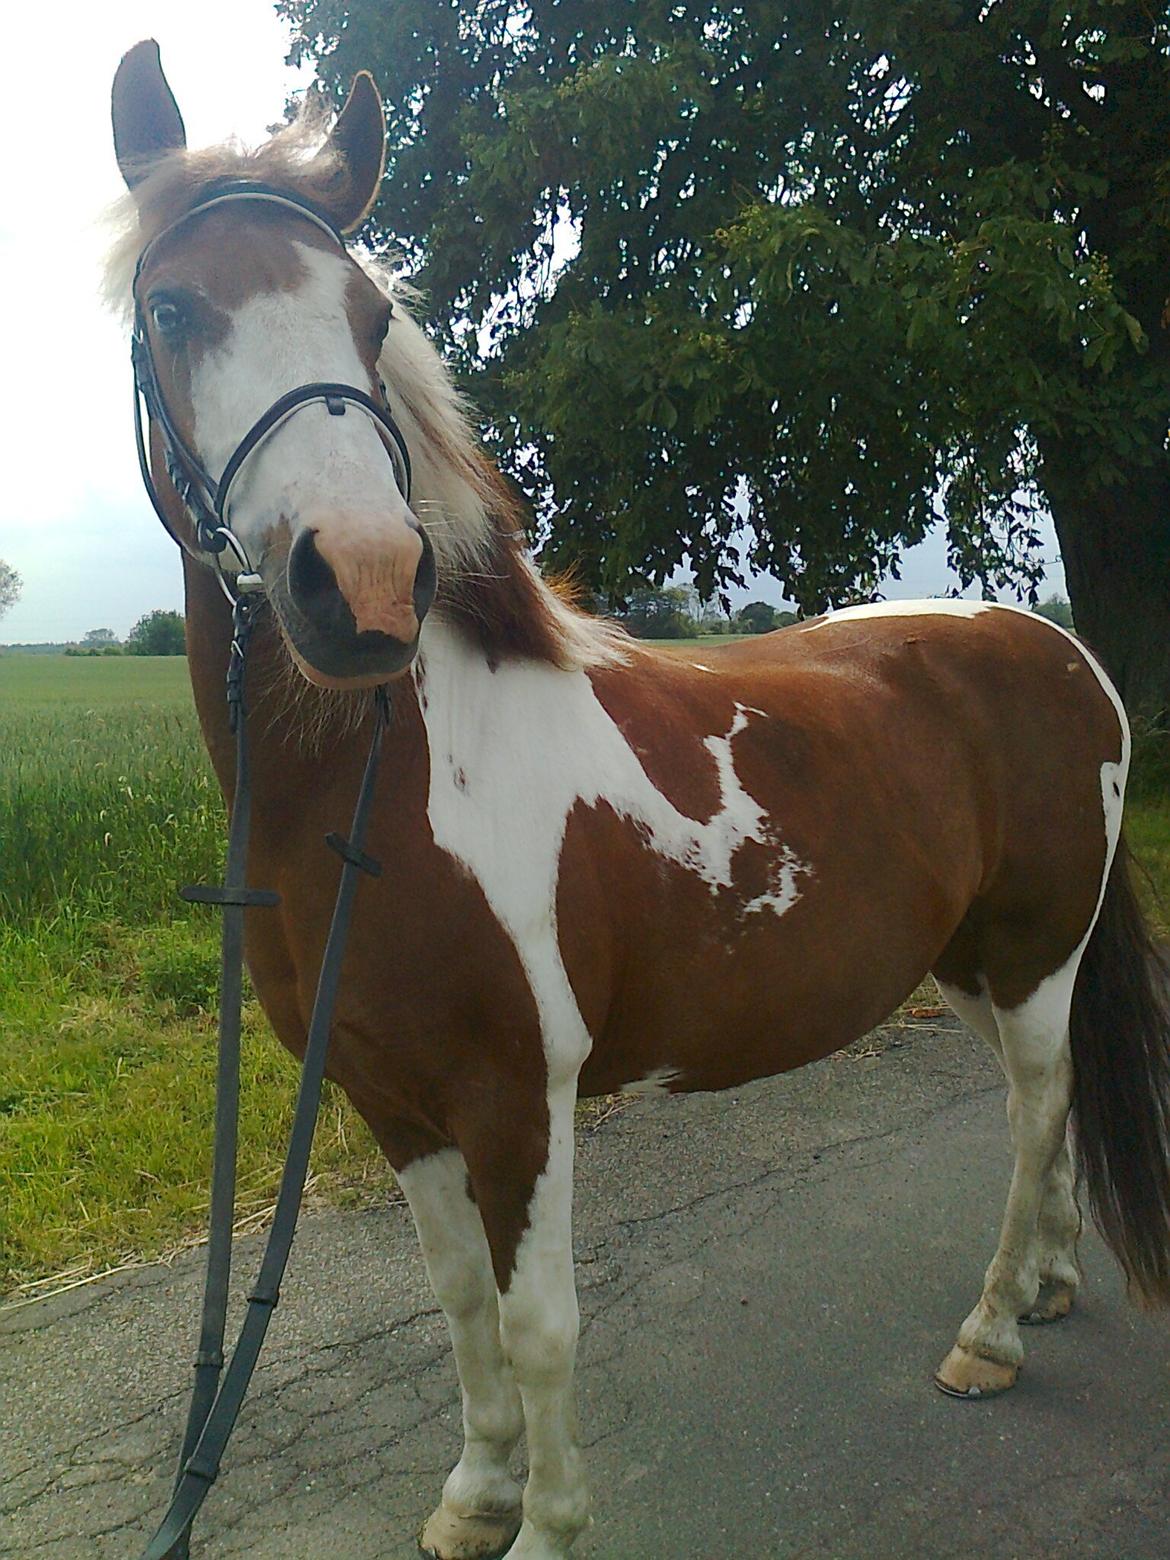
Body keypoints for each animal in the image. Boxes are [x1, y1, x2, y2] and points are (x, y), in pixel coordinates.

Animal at [109, 40, 1170, 1560]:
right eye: (173, 307)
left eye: (371, 316)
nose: (359, 584)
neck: (396, 791)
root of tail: (1058, 647)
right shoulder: (388, 1099)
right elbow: (458, 1312)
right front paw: (475, 1493)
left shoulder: (519, 1096)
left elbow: (541, 1327)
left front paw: (548, 1526)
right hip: (970, 961)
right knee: (1058, 1096)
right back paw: (1046, 1282)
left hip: (1033, 953)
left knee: (1032, 1115)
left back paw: (990, 1336)